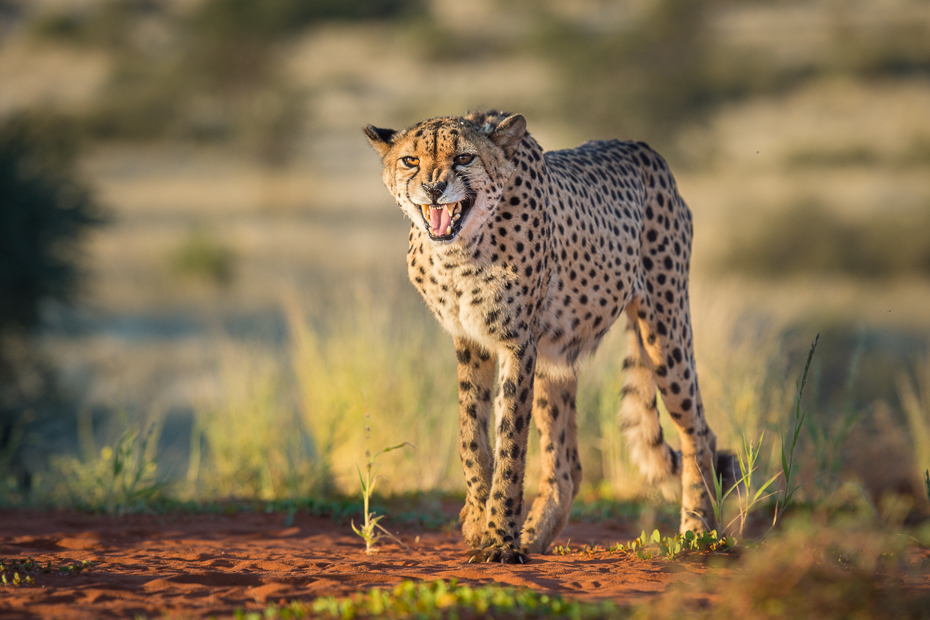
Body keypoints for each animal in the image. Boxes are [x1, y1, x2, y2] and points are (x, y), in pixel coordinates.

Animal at [362, 109, 732, 564]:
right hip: (556, 359)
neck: (459, 252)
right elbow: (472, 437)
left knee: (699, 433)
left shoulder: (517, 343)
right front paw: (478, 522)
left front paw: (499, 539)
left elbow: (510, 444)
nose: (433, 188)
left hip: (665, 329)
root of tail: (646, 150)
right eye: (411, 161)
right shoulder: (471, 342)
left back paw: (697, 531)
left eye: (464, 157)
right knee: (567, 464)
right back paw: (535, 536)